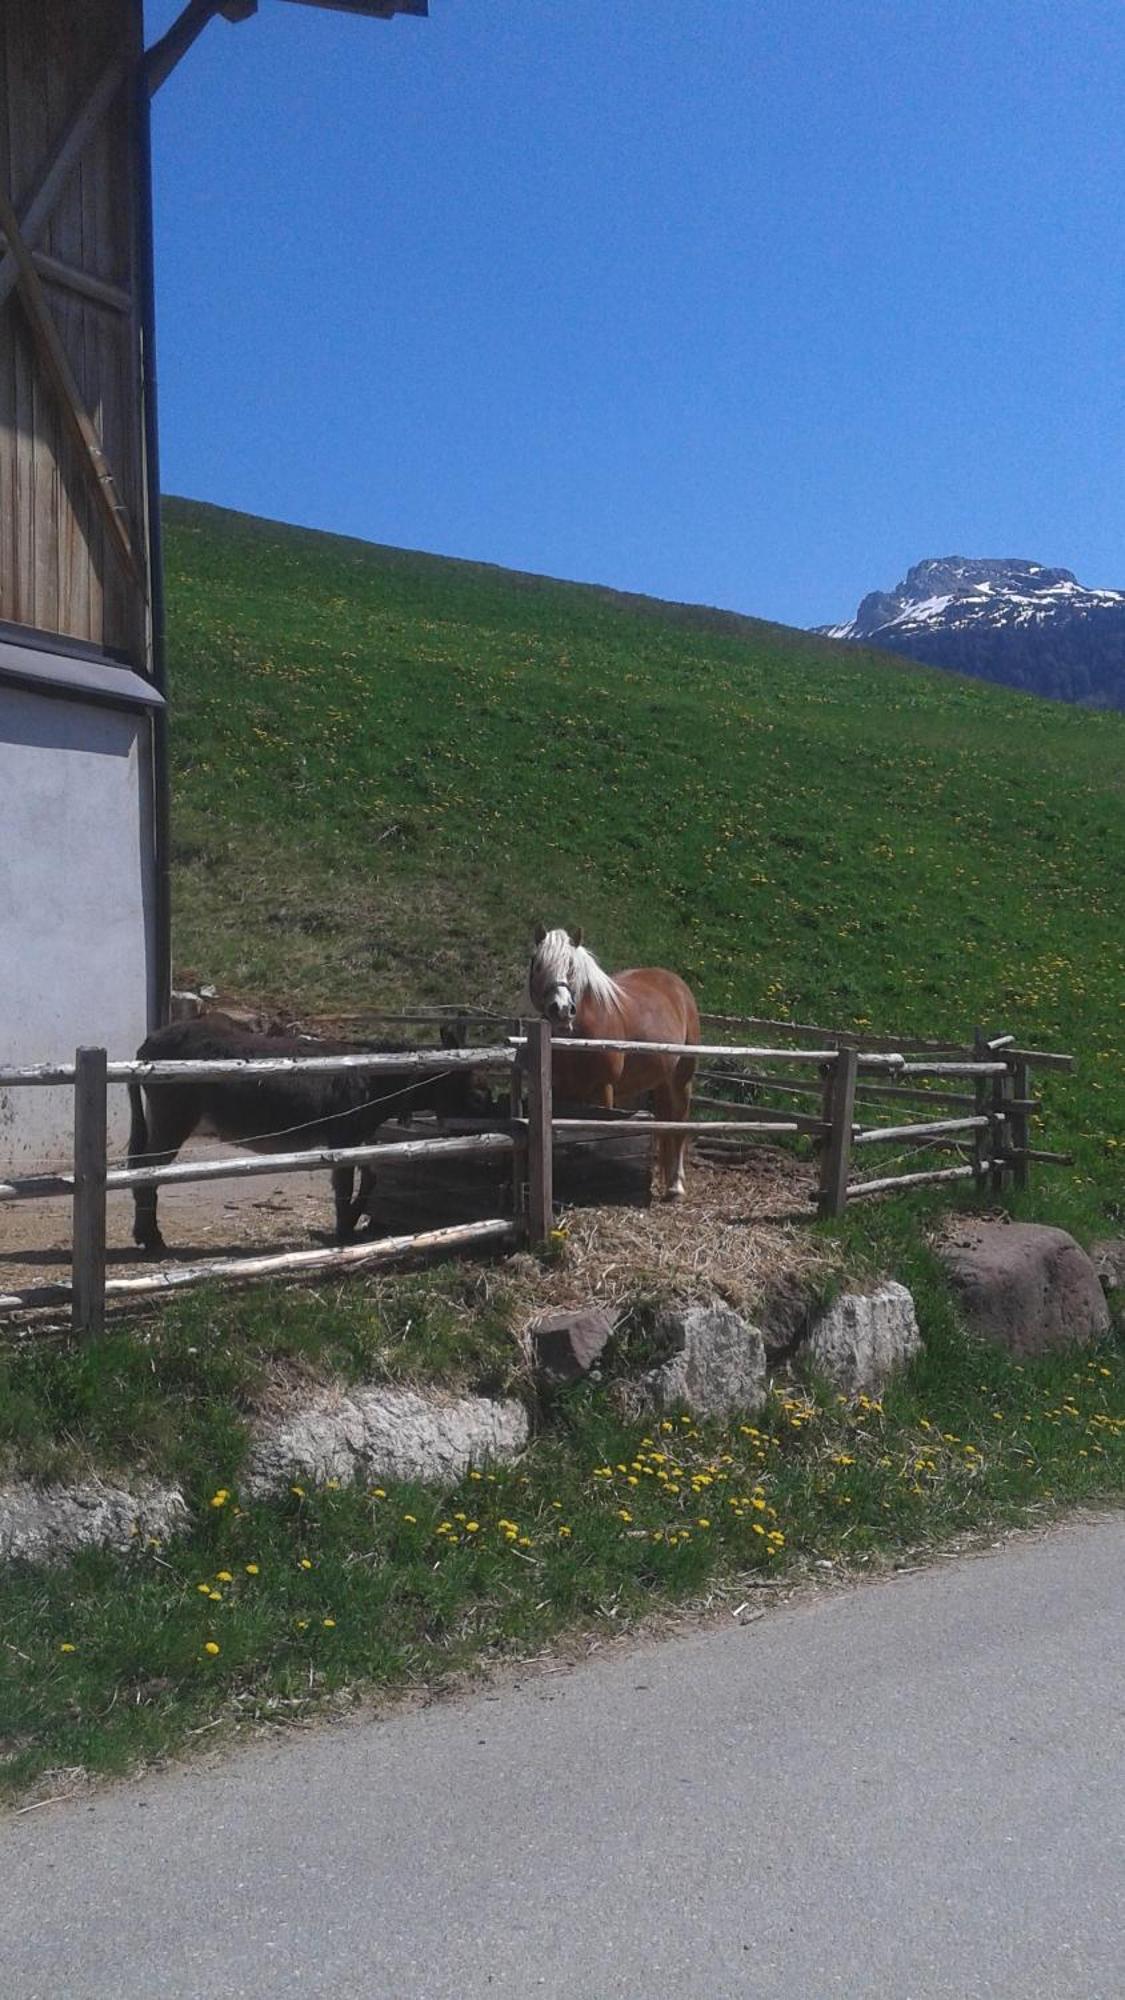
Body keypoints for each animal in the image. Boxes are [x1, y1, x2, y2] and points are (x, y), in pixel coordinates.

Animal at [524, 924, 692, 1192]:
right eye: (538, 964)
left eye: (571, 965)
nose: (561, 1010)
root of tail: (676, 983)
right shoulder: (561, 1090)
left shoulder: (604, 1088)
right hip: (661, 1081)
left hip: (682, 1078)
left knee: (681, 1123)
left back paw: (676, 1184)